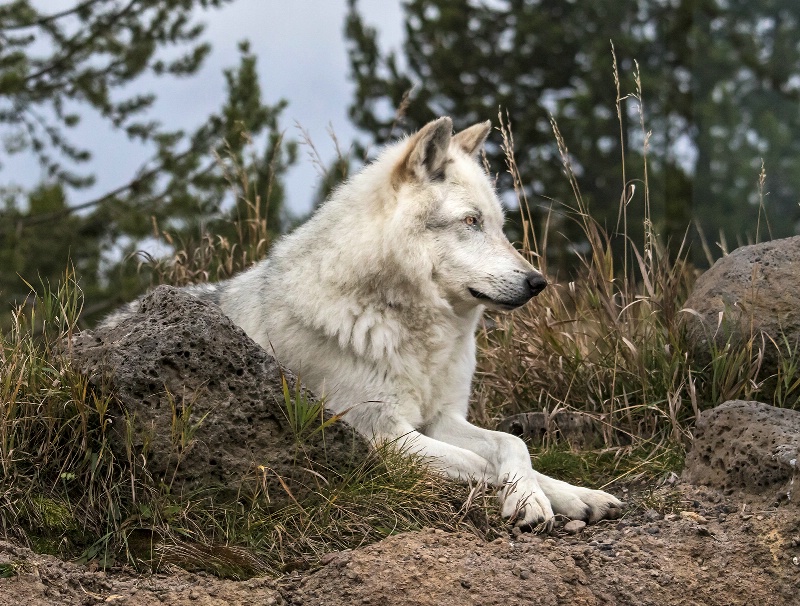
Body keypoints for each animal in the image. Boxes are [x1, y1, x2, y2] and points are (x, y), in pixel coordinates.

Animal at [104, 117, 624, 528]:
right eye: (471, 222)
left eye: (498, 225)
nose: (538, 282)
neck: (411, 330)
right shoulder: (381, 435)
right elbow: (484, 461)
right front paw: (527, 499)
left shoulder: (441, 418)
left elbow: (514, 445)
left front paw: (563, 495)